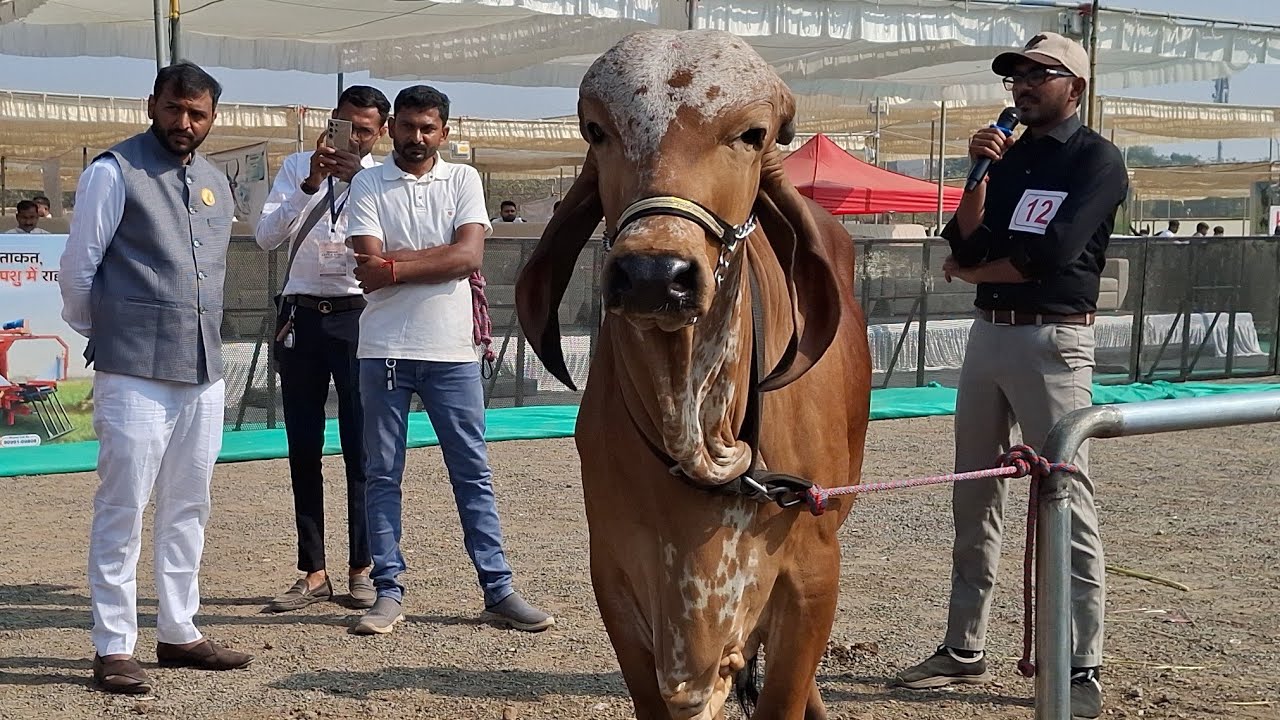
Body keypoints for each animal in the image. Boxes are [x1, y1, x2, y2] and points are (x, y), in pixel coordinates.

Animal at [515, 29, 872, 720]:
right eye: (597, 129)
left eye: (754, 134)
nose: (655, 274)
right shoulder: (618, 581)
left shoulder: (813, 574)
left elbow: (787, 691)